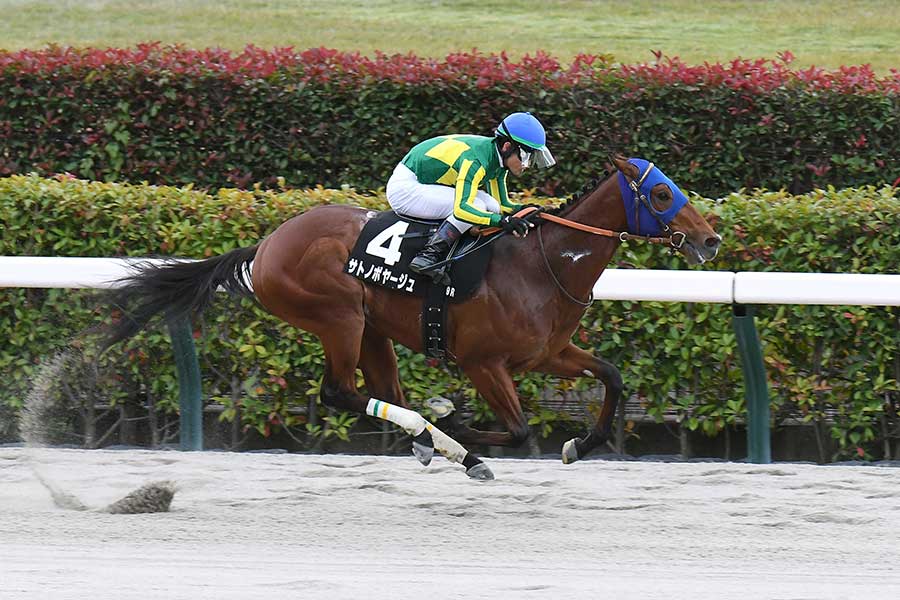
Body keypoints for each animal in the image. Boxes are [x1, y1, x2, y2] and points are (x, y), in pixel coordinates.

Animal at [103, 155, 721, 480]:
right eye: (661, 195)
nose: (710, 240)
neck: (541, 264)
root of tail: (266, 245)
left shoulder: (548, 353)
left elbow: (612, 377)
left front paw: (579, 445)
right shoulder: (482, 362)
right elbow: (519, 429)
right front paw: (458, 429)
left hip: (372, 330)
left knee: (383, 392)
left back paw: (432, 434)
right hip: (338, 317)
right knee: (341, 393)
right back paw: (442, 437)